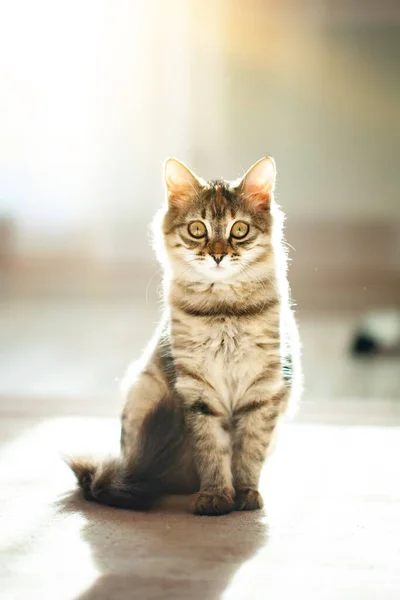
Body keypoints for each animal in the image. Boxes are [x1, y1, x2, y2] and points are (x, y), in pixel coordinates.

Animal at [69, 157, 300, 516]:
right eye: (197, 229)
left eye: (239, 230)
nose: (218, 255)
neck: (224, 311)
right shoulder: (198, 392)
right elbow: (213, 452)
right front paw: (216, 496)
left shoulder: (262, 391)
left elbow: (249, 453)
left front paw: (245, 494)